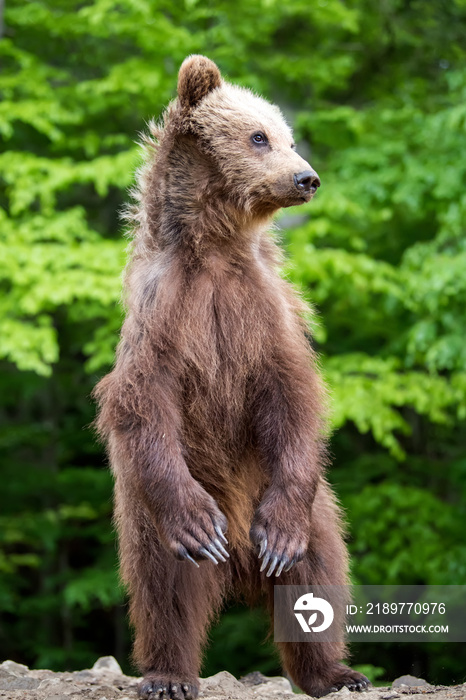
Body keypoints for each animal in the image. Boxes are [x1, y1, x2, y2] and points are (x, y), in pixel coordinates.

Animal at [95, 56, 372, 700]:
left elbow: (293, 396)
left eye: (288, 137)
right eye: (258, 136)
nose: (306, 178)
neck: (216, 249)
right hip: (154, 512)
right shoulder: (164, 315)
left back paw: (335, 671)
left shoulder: (265, 316)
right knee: (166, 584)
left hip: (307, 509)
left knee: (316, 568)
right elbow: (143, 402)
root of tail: (240, 558)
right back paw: (169, 674)